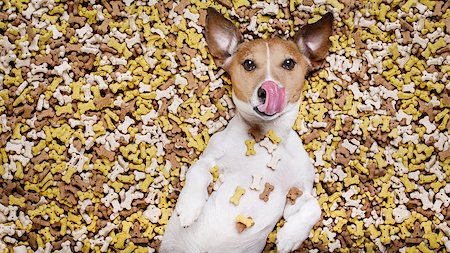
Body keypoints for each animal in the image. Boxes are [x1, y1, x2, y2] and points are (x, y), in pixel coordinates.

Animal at [161, 7, 334, 253]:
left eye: (289, 63)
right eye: (249, 64)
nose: (266, 90)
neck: (266, 137)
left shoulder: (298, 190)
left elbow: (314, 206)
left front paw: (290, 236)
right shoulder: (210, 157)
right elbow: (197, 171)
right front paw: (189, 207)